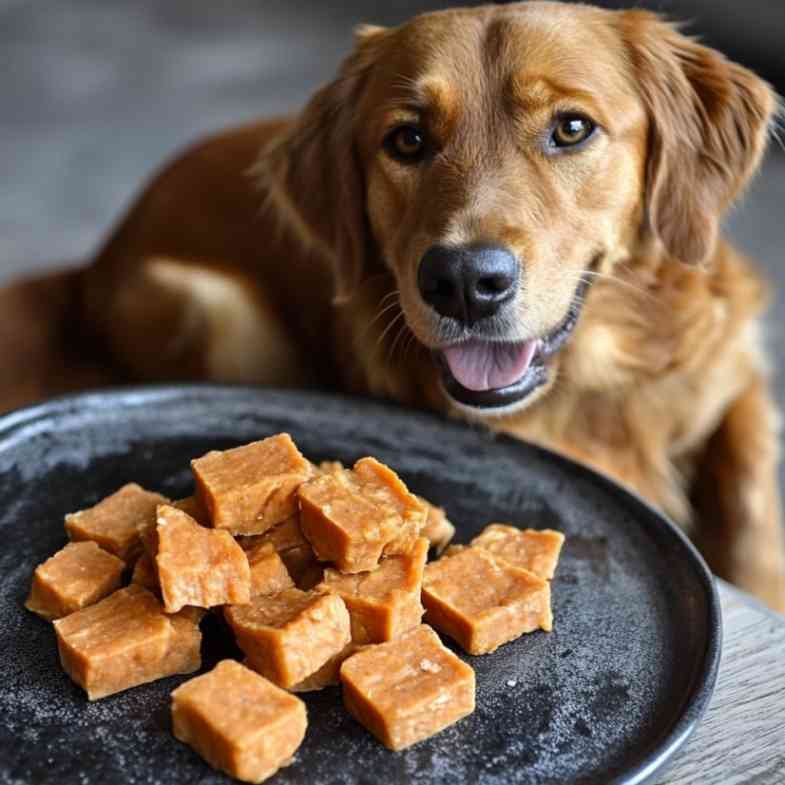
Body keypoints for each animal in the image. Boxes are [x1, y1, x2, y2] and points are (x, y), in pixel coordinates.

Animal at [1, 0, 784, 608]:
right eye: (406, 139)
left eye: (570, 128)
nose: (463, 280)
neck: (603, 385)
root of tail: (94, 259)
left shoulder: (734, 373)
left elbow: (752, 506)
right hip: (216, 311)